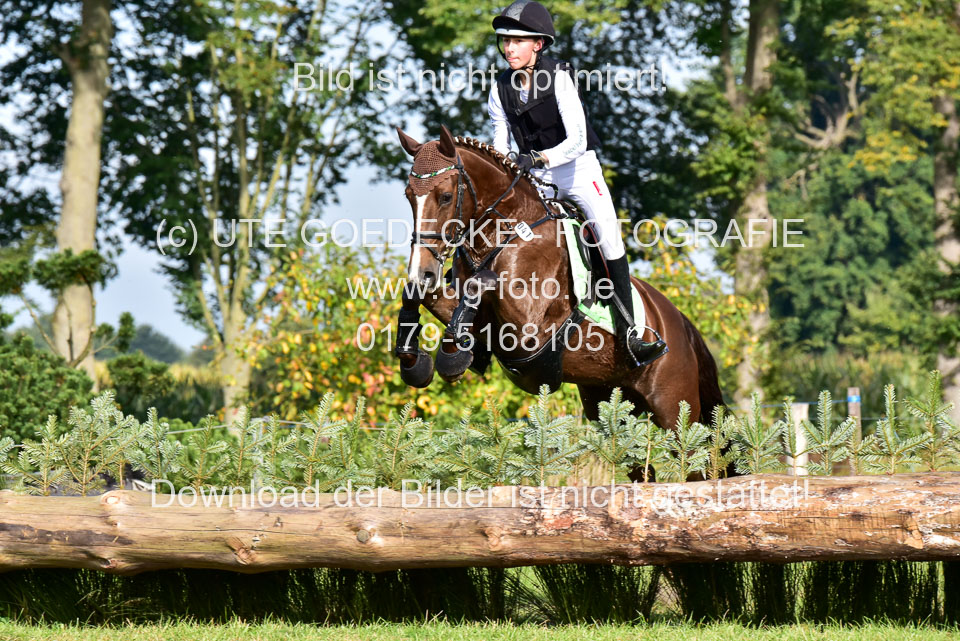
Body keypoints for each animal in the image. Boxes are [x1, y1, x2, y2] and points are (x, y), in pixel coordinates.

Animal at [393, 125, 726, 470]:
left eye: (445, 196)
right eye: (409, 196)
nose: (423, 271)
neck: (504, 233)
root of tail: (682, 324)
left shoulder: (527, 328)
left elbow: (483, 283)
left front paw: (450, 358)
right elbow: (419, 296)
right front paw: (414, 361)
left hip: (674, 410)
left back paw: (641, 345)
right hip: (612, 405)